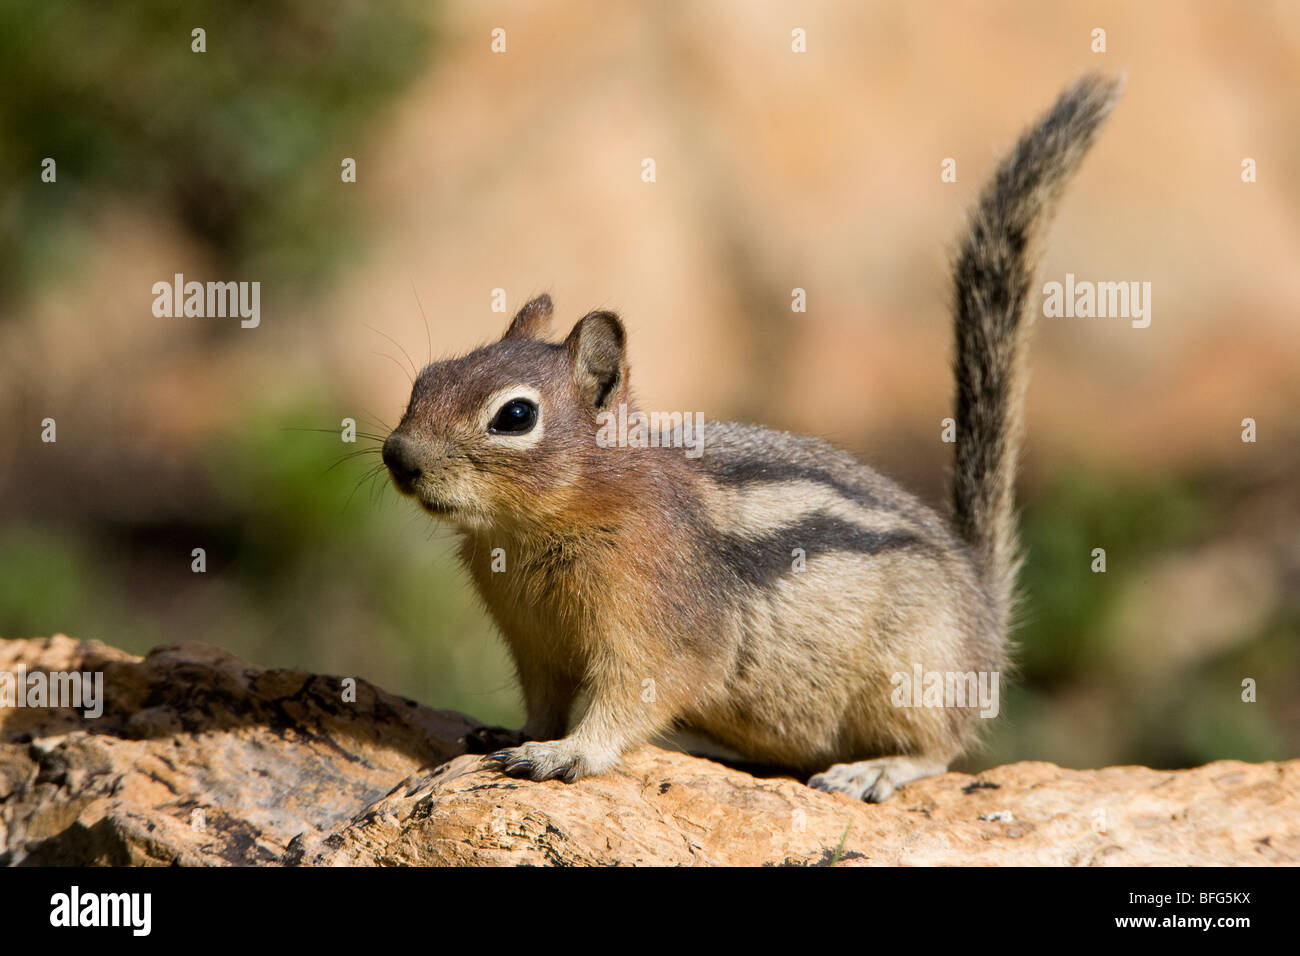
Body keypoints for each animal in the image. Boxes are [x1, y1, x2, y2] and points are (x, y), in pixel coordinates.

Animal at [379, 76, 1123, 801]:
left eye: (514, 417)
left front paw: (566, 753)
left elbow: (628, 701)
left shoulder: (657, 631)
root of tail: (984, 604)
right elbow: (541, 702)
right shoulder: (534, 646)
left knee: (940, 747)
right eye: (426, 378)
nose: (397, 457)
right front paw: (513, 734)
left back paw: (874, 770)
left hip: (915, 675)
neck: (539, 526)